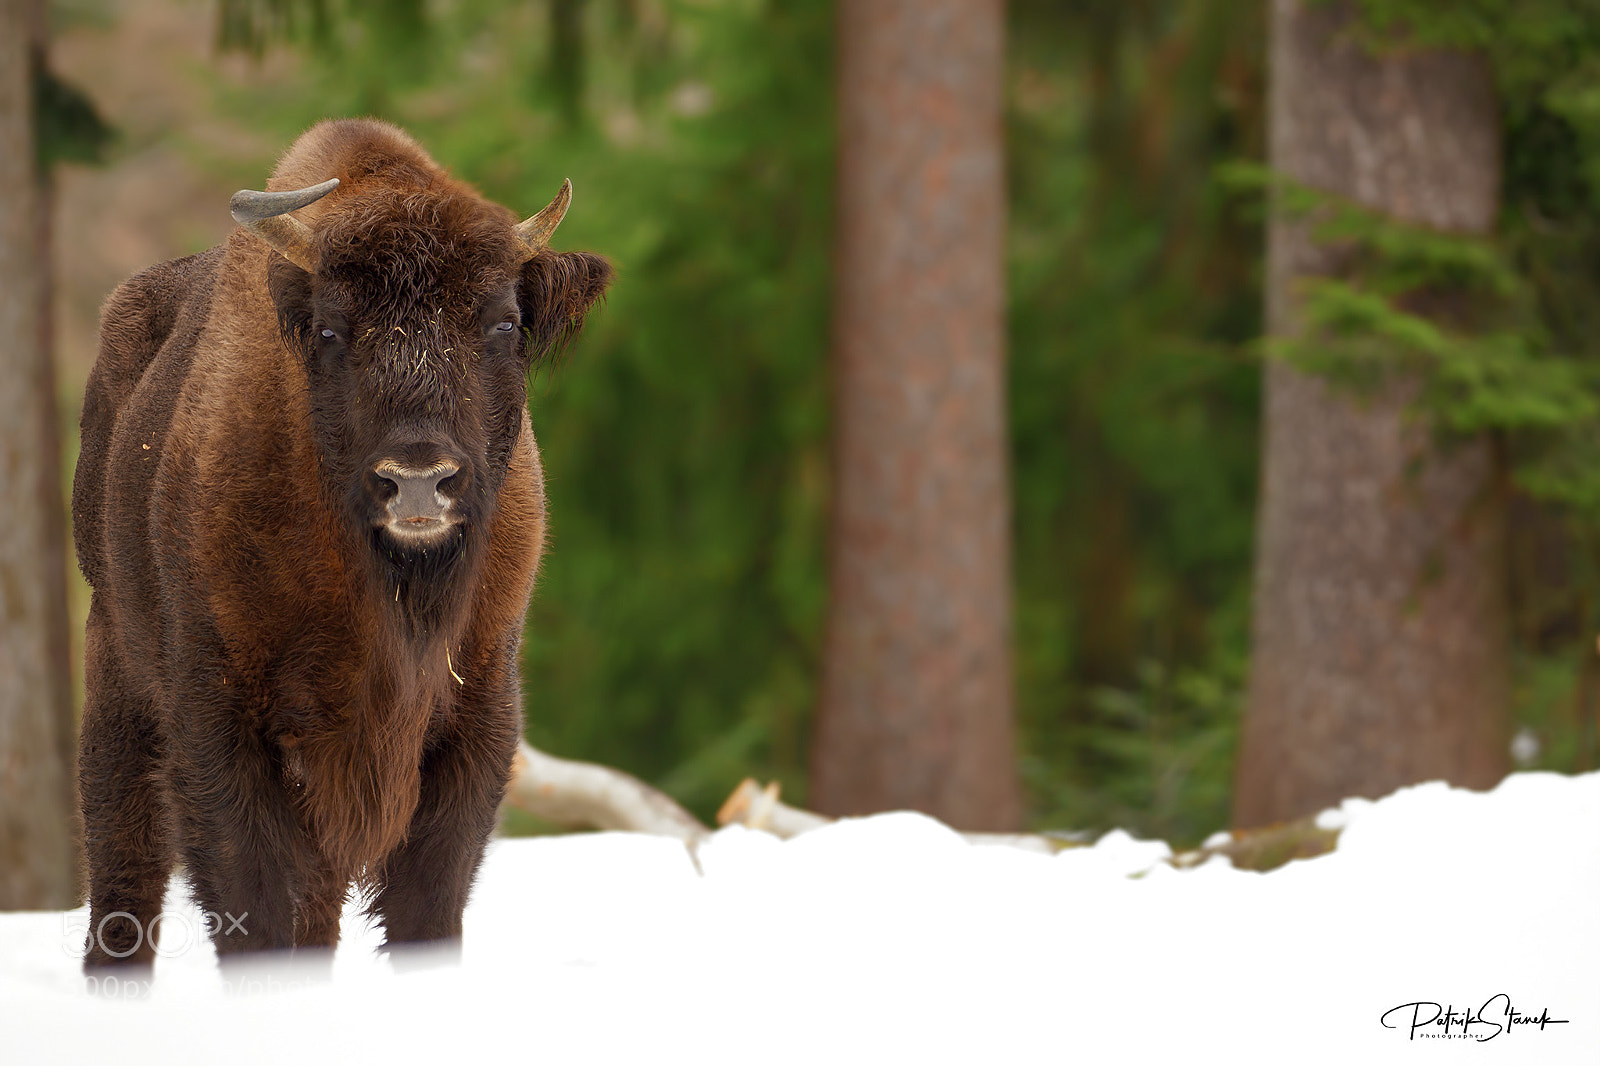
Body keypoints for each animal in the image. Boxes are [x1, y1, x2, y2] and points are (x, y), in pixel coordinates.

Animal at [73, 118, 610, 969]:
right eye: (331, 329)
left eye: (503, 323)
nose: (419, 480)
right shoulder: (221, 724)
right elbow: (257, 910)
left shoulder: (477, 713)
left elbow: (426, 906)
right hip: (116, 664)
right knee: (125, 869)